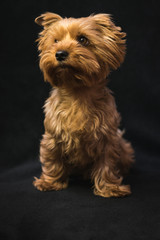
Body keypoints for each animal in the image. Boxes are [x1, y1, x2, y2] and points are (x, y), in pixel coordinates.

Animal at [33, 12, 134, 198]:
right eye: (55, 41)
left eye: (82, 39)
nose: (60, 53)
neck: (77, 94)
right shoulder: (52, 137)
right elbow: (52, 160)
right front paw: (49, 182)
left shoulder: (107, 139)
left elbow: (107, 165)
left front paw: (110, 188)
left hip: (123, 146)